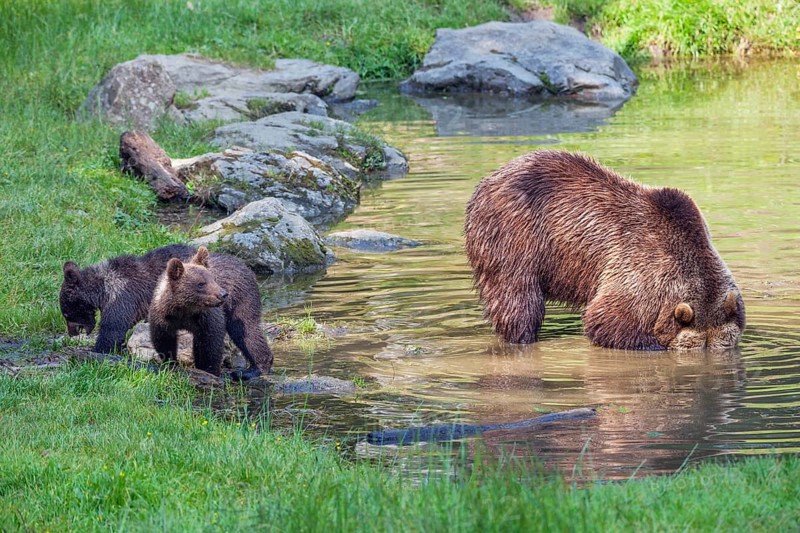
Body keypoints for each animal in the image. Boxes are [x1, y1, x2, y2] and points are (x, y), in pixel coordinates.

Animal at [59, 243, 272, 379]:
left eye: (67, 314)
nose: (72, 332)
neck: (103, 290)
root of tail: (244, 265)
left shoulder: (124, 298)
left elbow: (112, 330)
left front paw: (96, 350)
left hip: (240, 301)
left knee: (246, 331)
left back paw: (254, 369)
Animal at [464, 150, 746, 350]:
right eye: (693, 346)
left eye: (722, 347)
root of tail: (488, 179)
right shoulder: (640, 272)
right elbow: (608, 321)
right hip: (514, 234)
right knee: (517, 298)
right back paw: (521, 337)